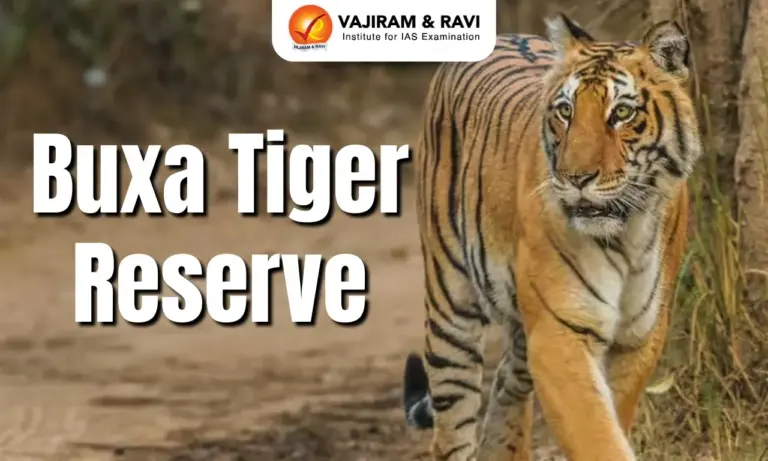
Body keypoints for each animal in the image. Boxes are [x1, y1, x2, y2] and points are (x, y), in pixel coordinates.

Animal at [400, 13, 700, 461]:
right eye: (565, 111)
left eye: (622, 112)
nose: (577, 178)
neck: (626, 235)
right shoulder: (559, 333)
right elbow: (596, 435)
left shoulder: (640, 336)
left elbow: (612, 419)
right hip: (449, 305)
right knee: (453, 426)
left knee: (506, 383)